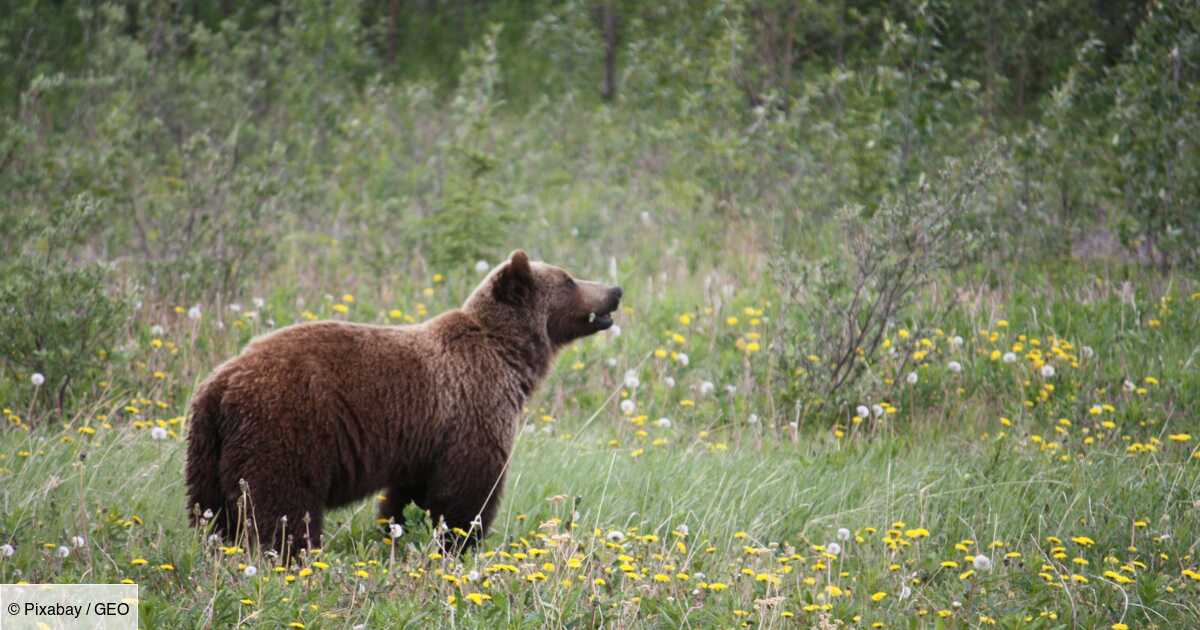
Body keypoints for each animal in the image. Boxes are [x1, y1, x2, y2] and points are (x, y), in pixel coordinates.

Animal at [187, 248, 624, 552]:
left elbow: (410, 495)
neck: (510, 357)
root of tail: (221, 384)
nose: (614, 291)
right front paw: (460, 542)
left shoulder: (424, 438)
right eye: (569, 280)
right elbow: (467, 491)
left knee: (210, 513)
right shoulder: (473, 406)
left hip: (207, 449)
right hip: (286, 428)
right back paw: (290, 556)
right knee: (282, 507)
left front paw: (398, 533)